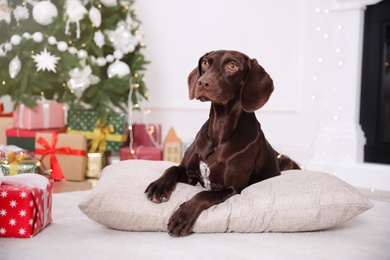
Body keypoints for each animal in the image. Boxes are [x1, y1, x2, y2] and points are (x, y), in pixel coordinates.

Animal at [145, 50, 300, 236]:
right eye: (205, 63)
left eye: (232, 66)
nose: (202, 82)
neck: (219, 129)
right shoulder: (190, 174)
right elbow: (172, 168)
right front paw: (158, 186)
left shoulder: (231, 188)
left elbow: (203, 195)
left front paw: (182, 216)